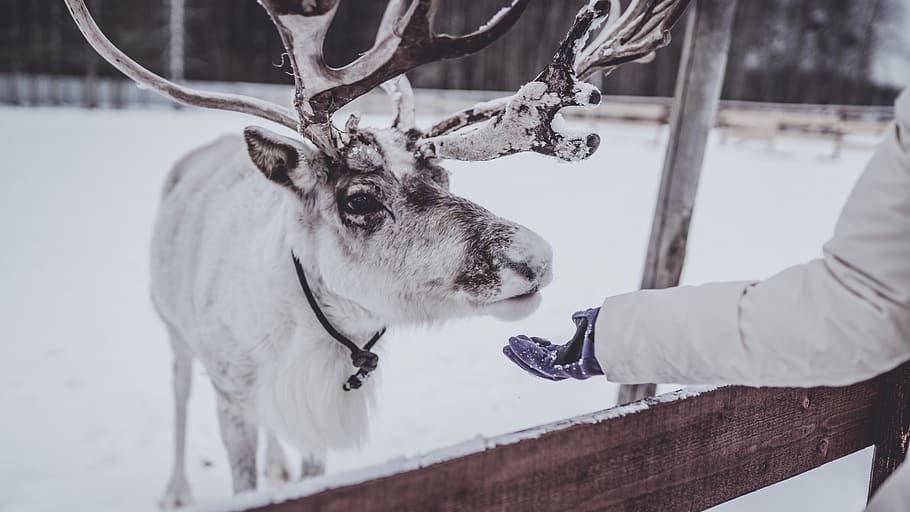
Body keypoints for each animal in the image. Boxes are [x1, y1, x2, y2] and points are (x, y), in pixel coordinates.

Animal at [63, 0, 690, 507]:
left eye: (444, 175)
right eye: (359, 199)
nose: (536, 258)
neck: (313, 334)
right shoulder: (232, 389)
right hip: (173, 330)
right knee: (177, 394)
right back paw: (176, 490)